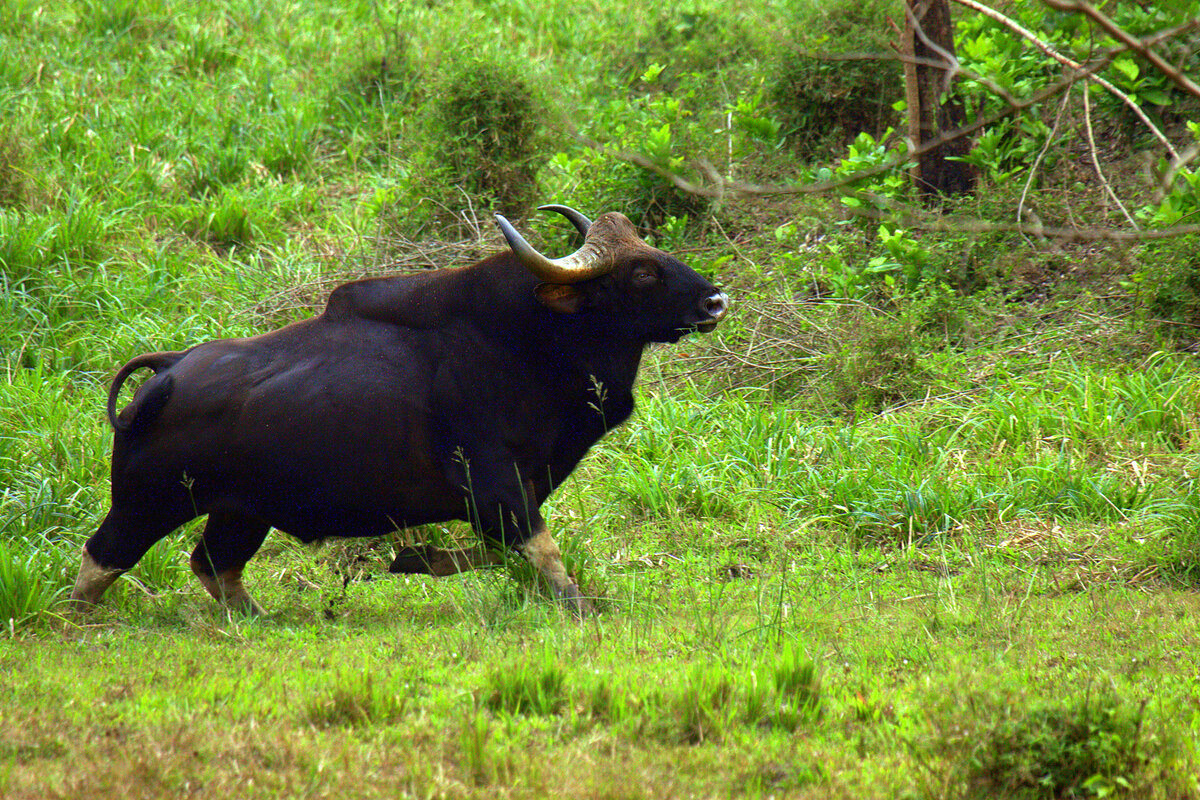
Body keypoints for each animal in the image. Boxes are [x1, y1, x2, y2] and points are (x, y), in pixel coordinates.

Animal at [75, 206, 729, 614]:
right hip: (145, 501)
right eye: (641, 271)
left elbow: (498, 550)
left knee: (213, 565)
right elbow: (541, 552)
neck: (527, 343)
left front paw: (419, 558)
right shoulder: (493, 481)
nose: (714, 300)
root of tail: (168, 373)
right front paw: (576, 604)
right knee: (101, 560)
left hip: (240, 512)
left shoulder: (514, 489)